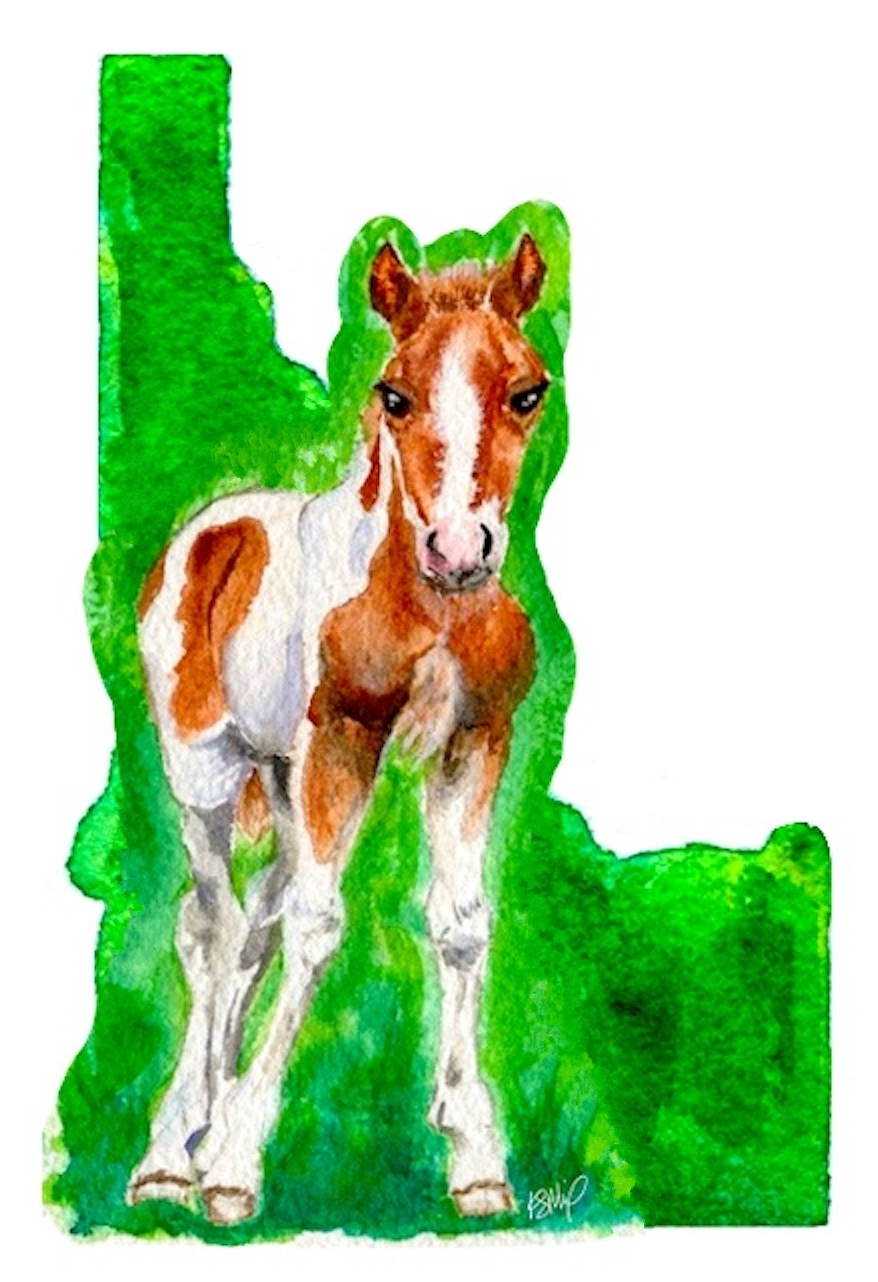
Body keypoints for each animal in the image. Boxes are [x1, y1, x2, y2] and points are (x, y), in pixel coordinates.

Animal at [127, 232, 551, 1226]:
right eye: (394, 395)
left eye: (527, 391)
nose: (460, 551)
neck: (429, 607)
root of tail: (212, 526)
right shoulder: (343, 743)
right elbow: (319, 930)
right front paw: (236, 1162)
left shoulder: (474, 745)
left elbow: (461, 923)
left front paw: (476, 1158)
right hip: (209, 775)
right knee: (211, 929)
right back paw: (173, 1151)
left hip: (285, 785)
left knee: (255, 928)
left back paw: (203, 1125)